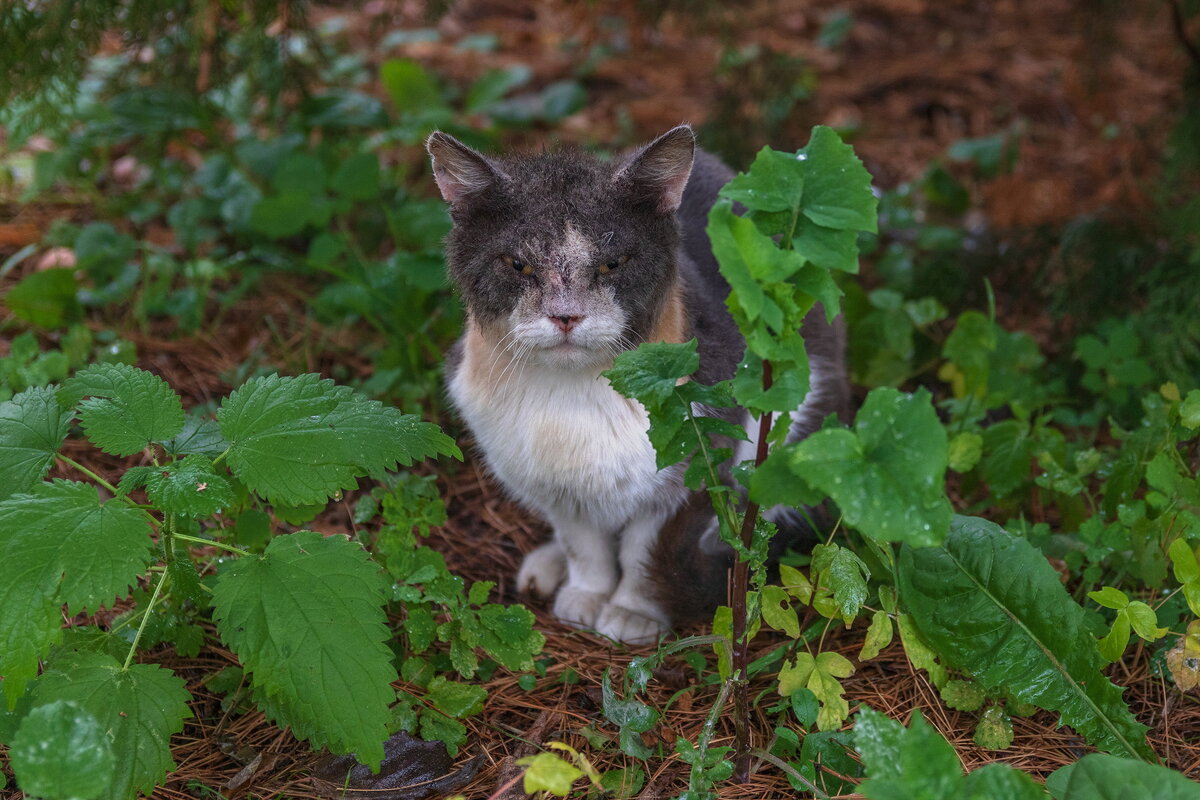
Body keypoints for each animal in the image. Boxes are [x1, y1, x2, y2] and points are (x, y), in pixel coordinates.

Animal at [427, 128, 849, 647]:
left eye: (612, 264)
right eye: (518, 265)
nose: (566, 315)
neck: (573, 396)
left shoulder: (699, 468)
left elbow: (646, 551)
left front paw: (634, 611)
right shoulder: (553, 485)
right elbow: (582, 542)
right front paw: (585, 594)